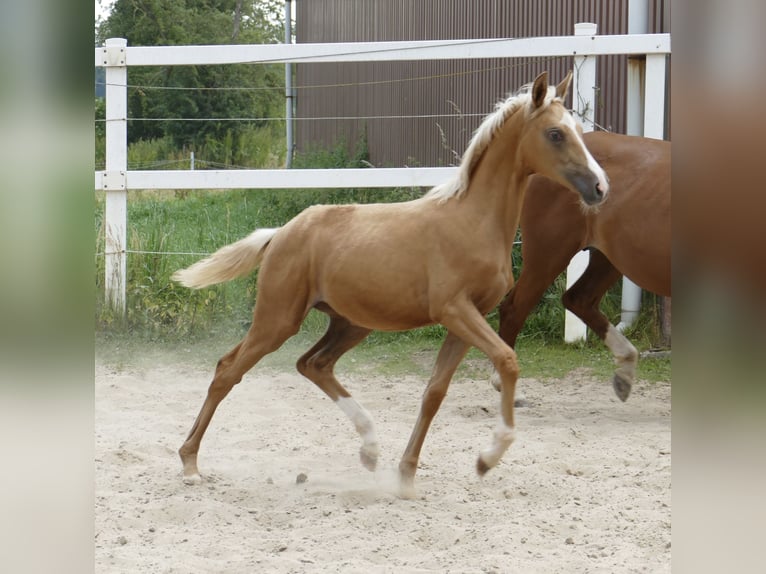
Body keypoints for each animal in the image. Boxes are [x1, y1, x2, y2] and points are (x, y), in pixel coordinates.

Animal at [171, 72, 610, 498]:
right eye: (555, 133)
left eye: (577, 130)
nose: (600, 187)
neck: (473, 221)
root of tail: (280, 233)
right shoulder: (455, 310)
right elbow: (507, 360)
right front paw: (488, 458)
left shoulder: (467, 319)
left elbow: (434, 391)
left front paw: (406, 475)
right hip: (278, 319)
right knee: (229, 370)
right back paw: (190, 465)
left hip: (349, 323)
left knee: (312, 364)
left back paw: (370, 449)